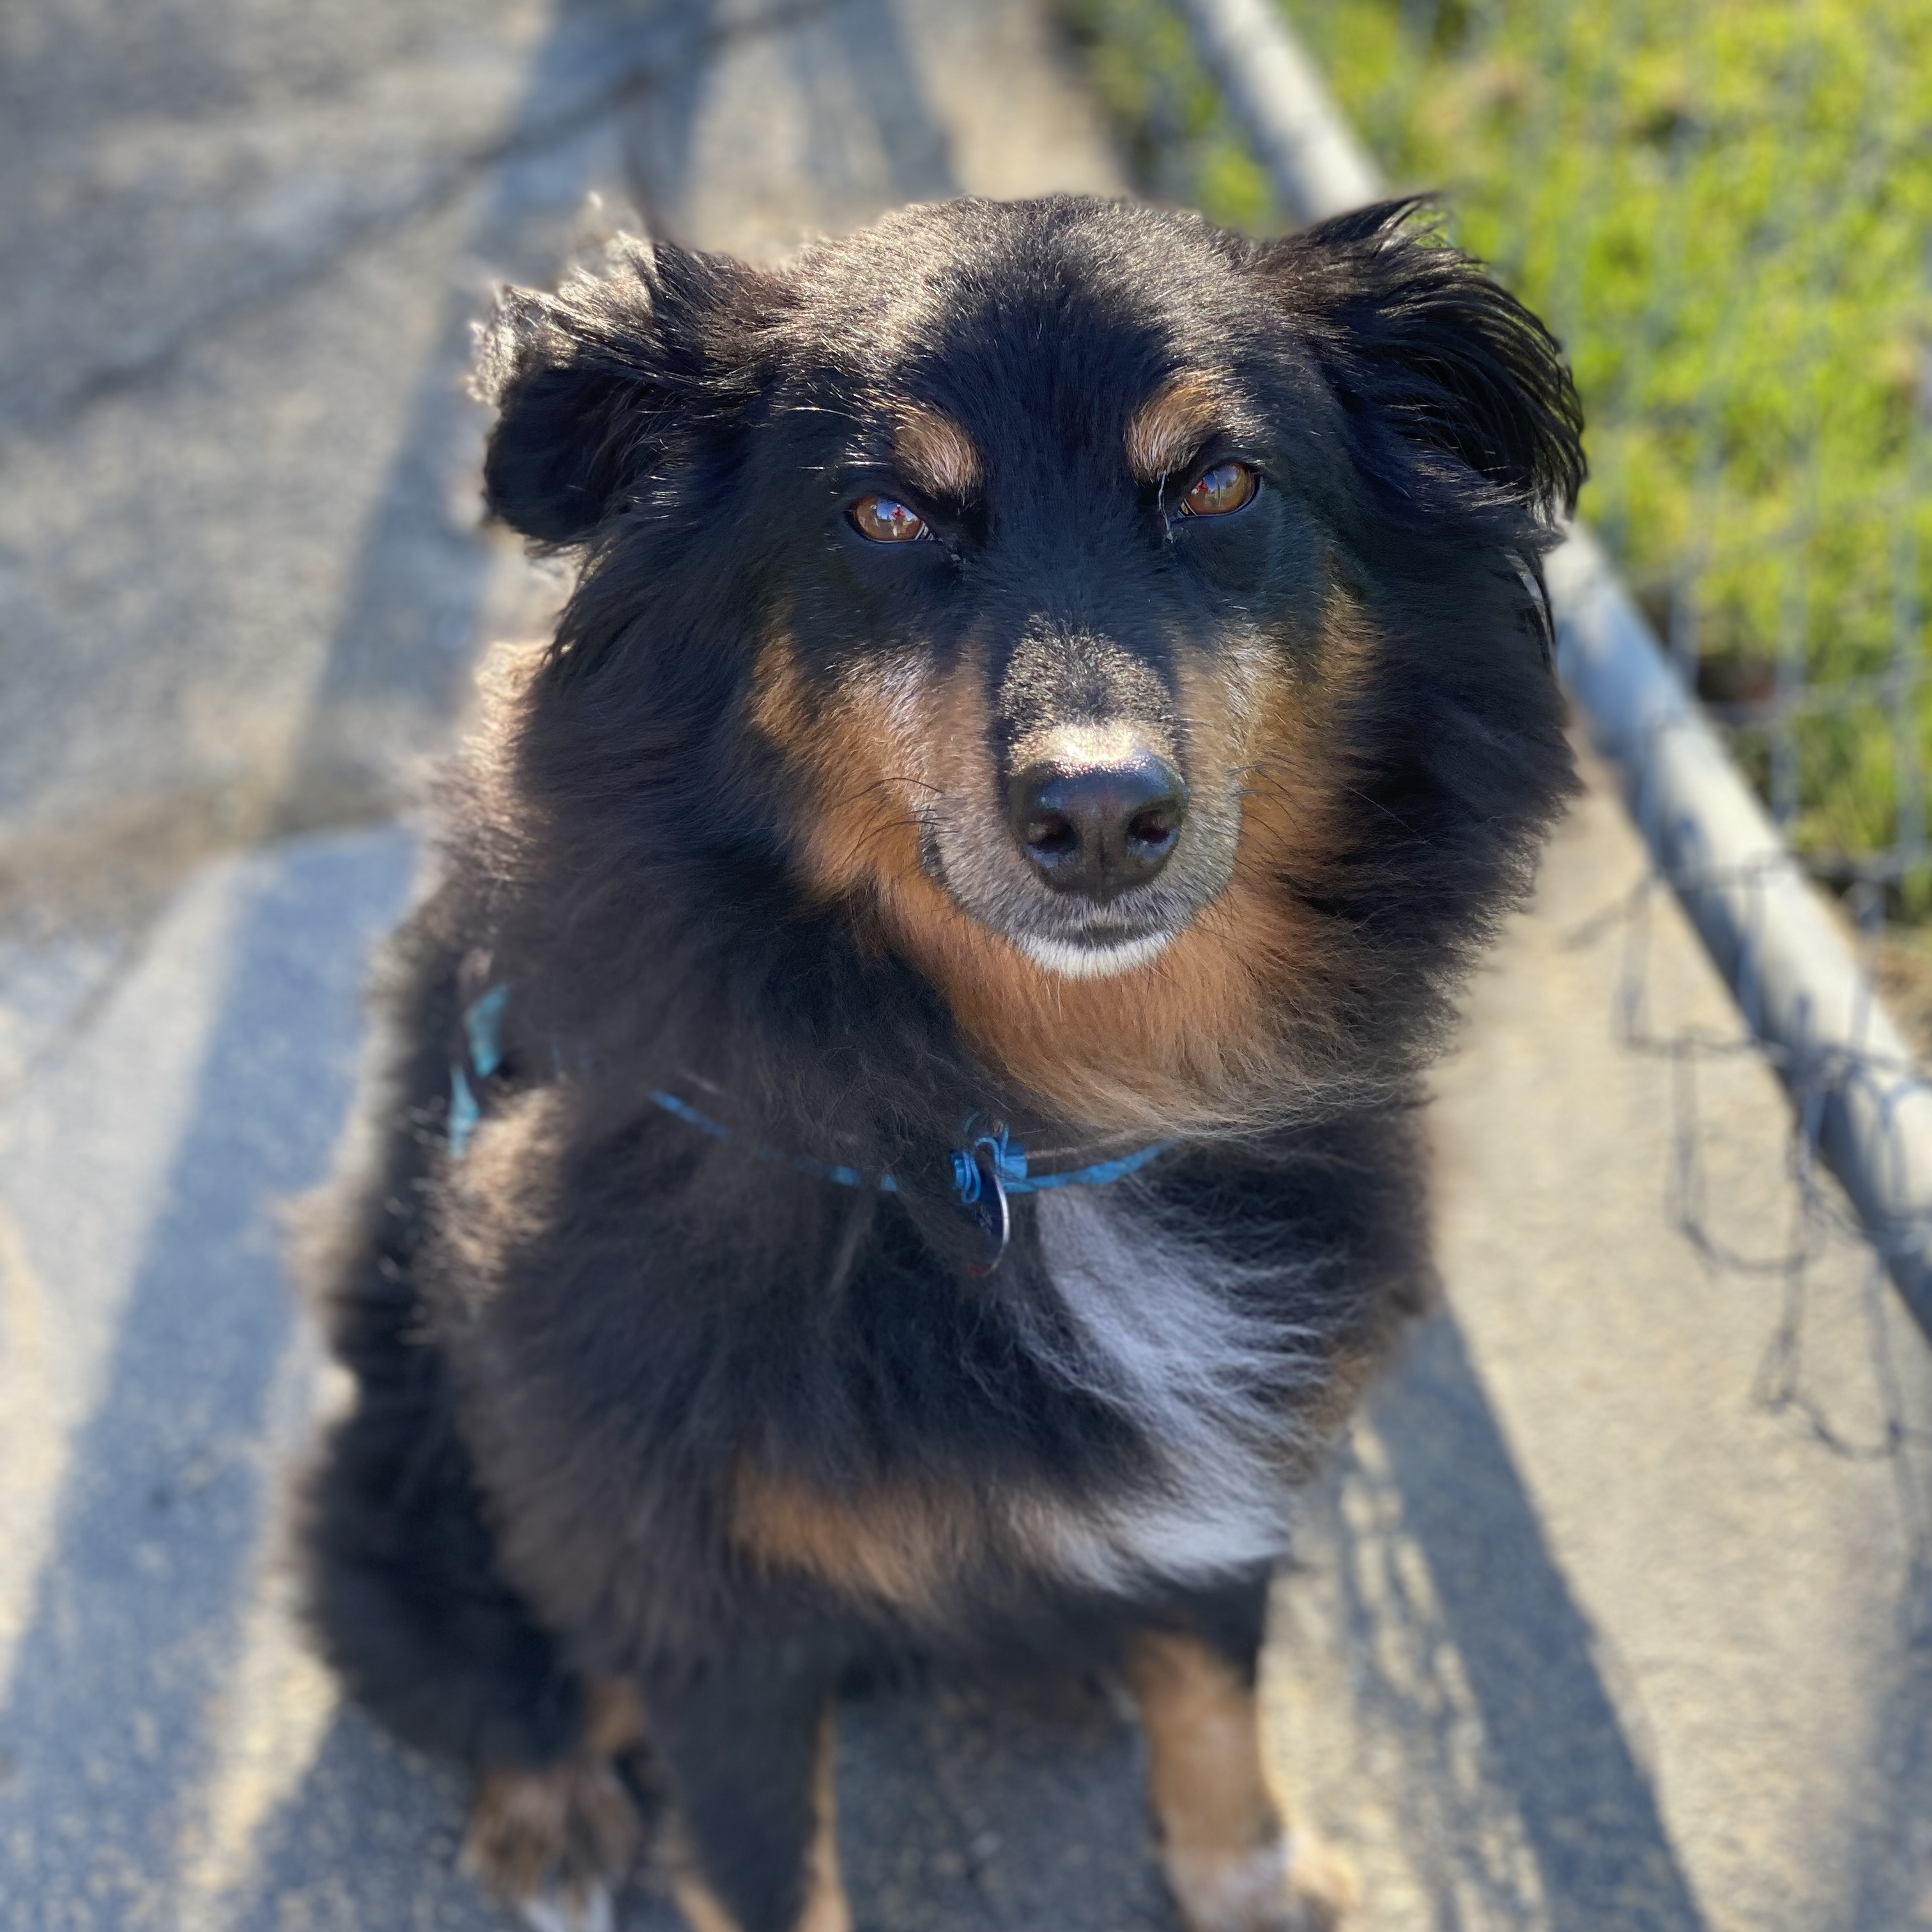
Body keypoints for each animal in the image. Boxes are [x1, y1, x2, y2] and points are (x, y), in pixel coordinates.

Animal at [293, 192, 1576, 1932]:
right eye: (889, 513)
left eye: (1221, 484)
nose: (1100, 815)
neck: (1026, 1133)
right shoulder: (706, 1601)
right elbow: (761, 1854)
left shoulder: (1229, 1449)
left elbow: (1217, 1692)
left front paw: (1247, 1875)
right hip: (425, 1448)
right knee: (467, 1651)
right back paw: (549, 1806)